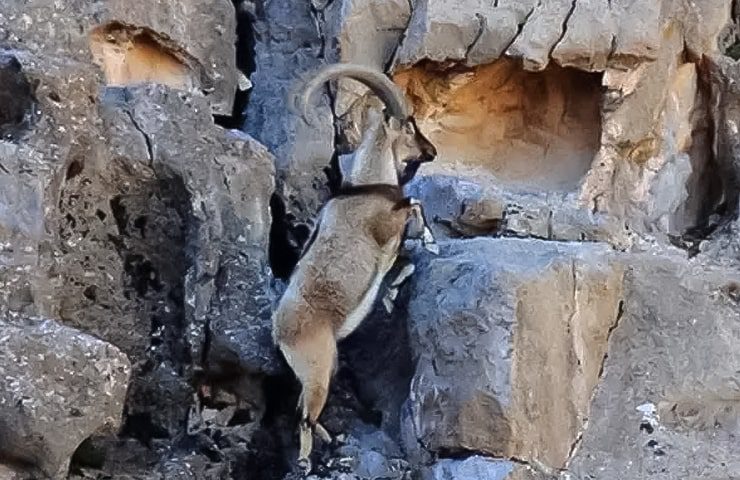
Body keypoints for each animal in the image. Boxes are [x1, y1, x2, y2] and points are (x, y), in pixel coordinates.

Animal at [274, 63, 436, 472]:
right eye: (410, 125)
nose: (431, 151)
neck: (368, 186)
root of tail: (280, 334)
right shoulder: (387, 224)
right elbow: (415, 203)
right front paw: (431, 240)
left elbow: (404, 261)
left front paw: (392, 294)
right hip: (317, 369)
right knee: (304, 415)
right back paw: (306, 461)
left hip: (324, 366)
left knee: (302, 409)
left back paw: (333, 440)